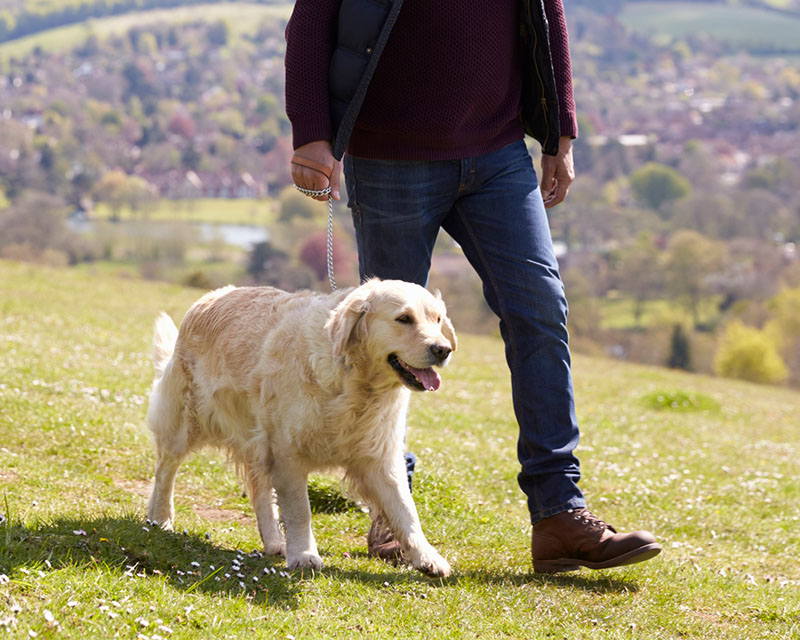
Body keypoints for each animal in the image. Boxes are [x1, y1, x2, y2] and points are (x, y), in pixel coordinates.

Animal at [145, 278, 456, 576]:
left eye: (438, 319)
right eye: (404, 318)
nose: (443, 350)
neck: (355, 384)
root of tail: (209, 297)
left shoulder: (379, 458)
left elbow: (406, 510)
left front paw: (427, 558)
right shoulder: (287, 453)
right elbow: (300, 510)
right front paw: (305, 556)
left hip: (255, 440)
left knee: (260, 491)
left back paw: (274, 541)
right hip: (185, 421)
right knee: (166, 469)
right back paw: (160, 518)